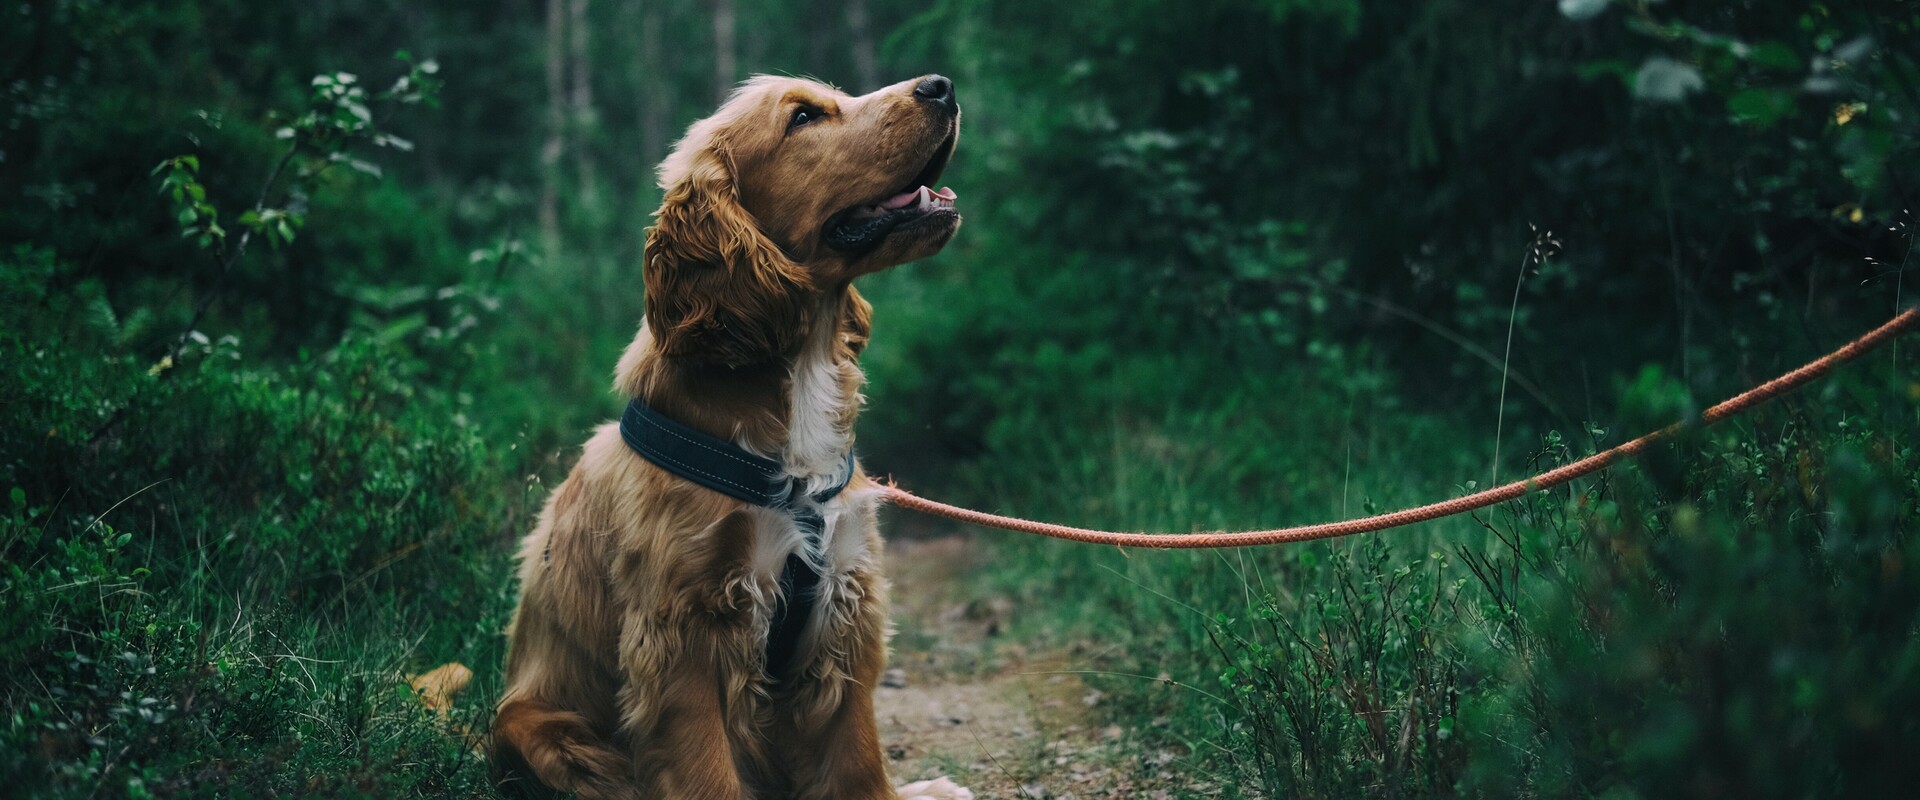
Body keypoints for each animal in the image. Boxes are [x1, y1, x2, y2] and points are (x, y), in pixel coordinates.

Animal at [495, 74, 967, 798]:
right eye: (802, 118)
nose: (941, 85)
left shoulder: (844, 602)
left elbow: (858, 761)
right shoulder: (683, 632)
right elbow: (707, 772)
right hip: (545, 732)